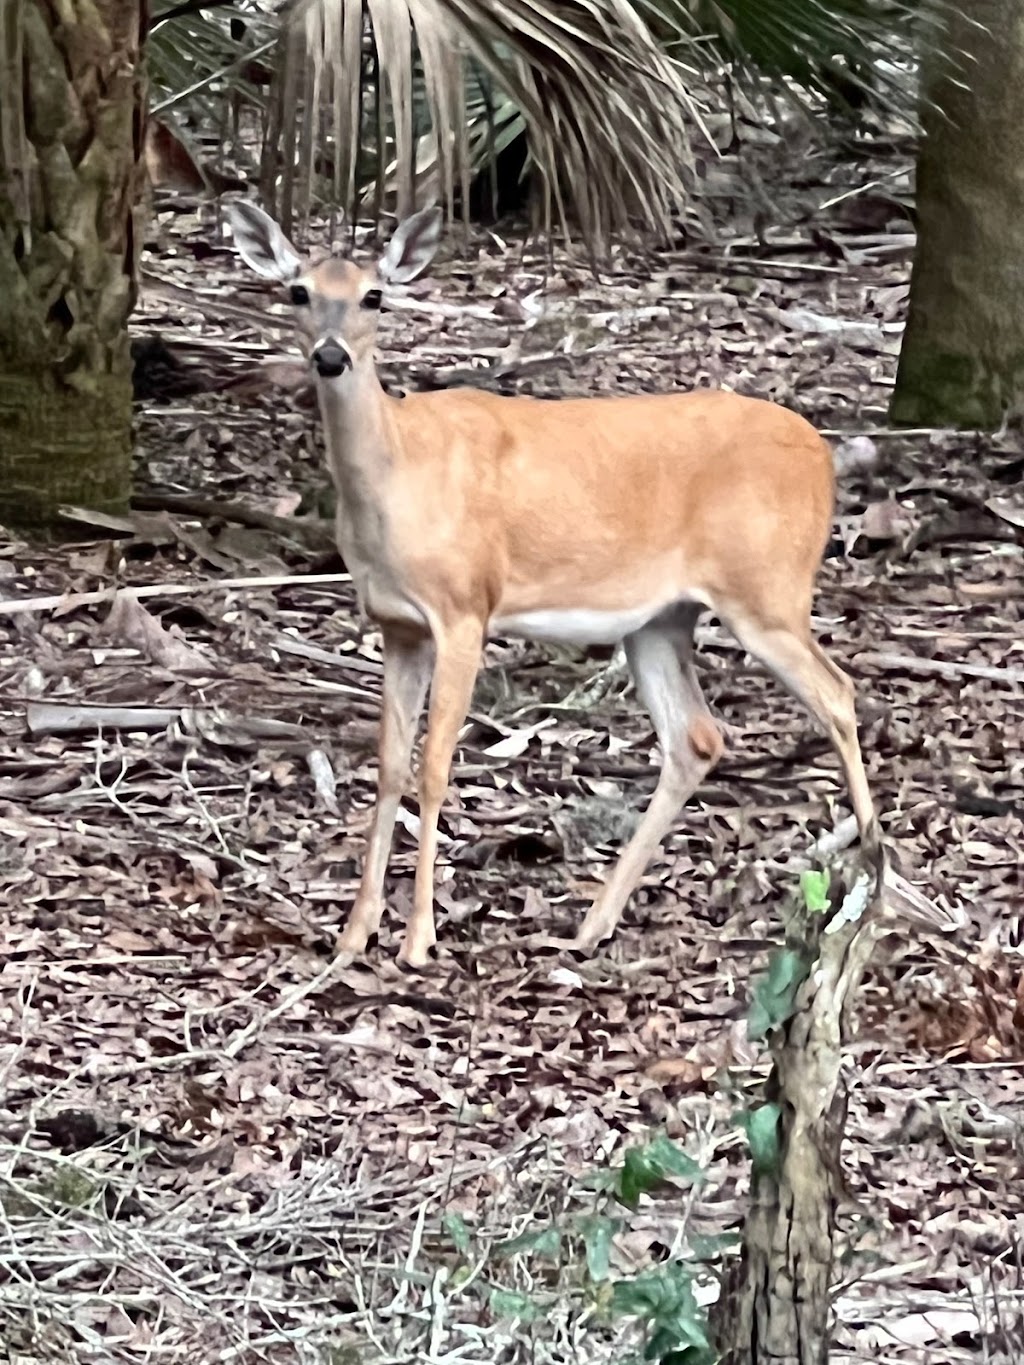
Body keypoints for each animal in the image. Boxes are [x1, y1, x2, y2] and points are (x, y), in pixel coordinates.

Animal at [228, 199, 884, 971]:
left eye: (375, 295)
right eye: (297, 291)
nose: (330, 357)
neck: (399, 475)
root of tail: (822, 453)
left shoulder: (465, 608)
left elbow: (434, 765)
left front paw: (419, 938)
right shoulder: (398, 624)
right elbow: (389, 764)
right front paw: (354, 933)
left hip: (769, 588)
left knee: (837, 692)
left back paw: (874, 875)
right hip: (660, 617)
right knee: (696, 736)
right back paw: (591, 923)